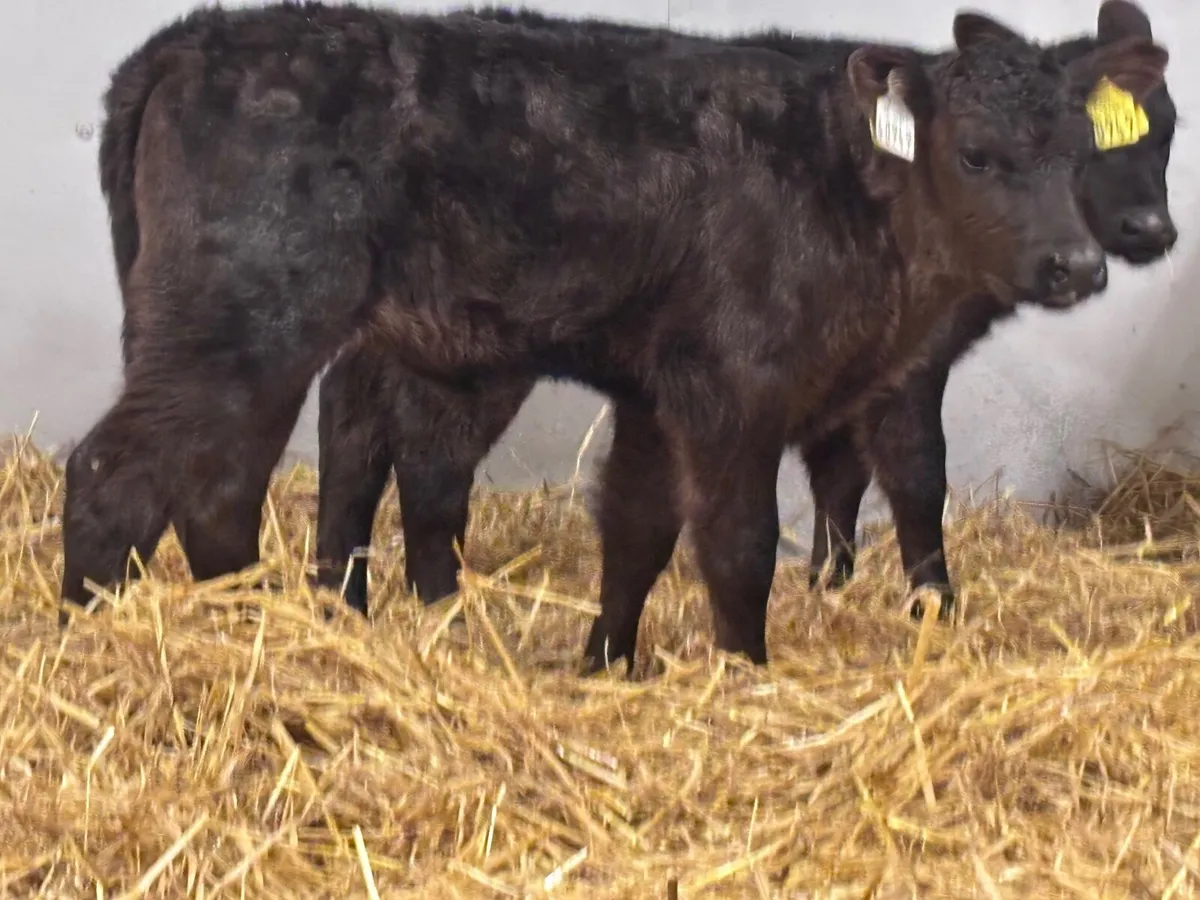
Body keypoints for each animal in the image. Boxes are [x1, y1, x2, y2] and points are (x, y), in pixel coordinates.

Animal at [66, 1, 1167, 673]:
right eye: (977, 155)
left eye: (1082, 150)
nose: (1081, 266)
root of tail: (192, 40)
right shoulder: (736, 385)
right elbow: (746, 540)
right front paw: (748, 676)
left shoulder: (664, 388)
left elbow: (638, 531)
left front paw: (607, 666)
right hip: (242, 318)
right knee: (118, 471)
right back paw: (97, 636)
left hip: (245, 333)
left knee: (220, 482)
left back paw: (260, 628)